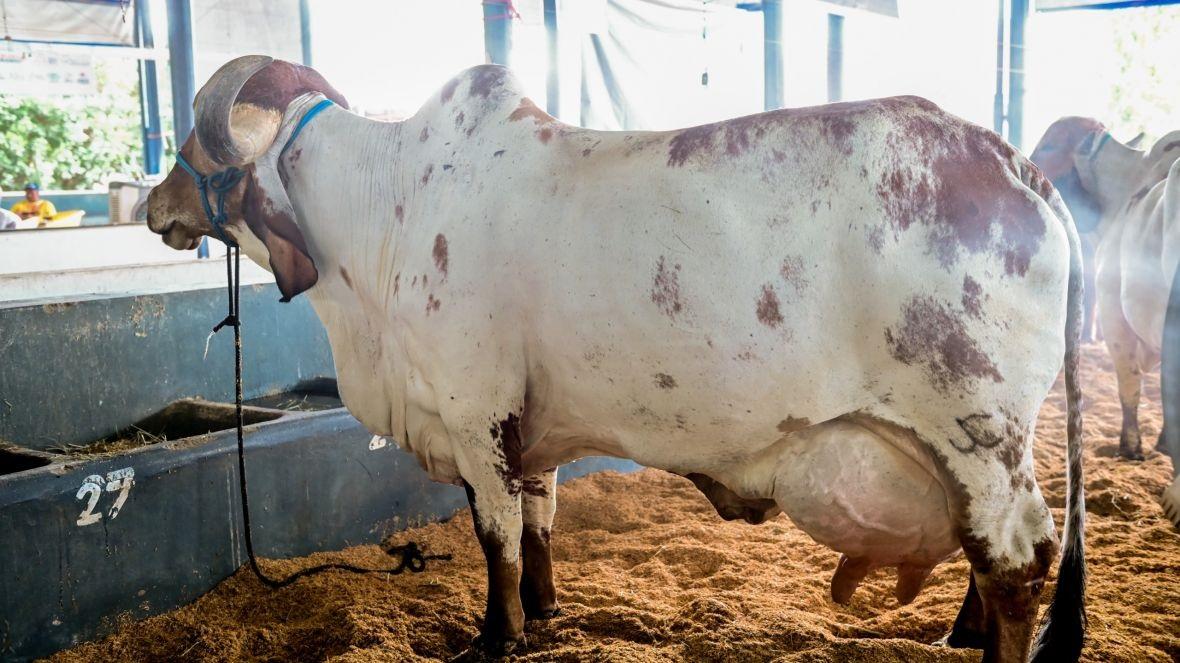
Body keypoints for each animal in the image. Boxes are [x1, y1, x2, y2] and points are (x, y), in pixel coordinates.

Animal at [147, 56, 1085, 660]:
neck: (389, 210)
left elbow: (495, 535)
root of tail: (1019, 168)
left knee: (1016, 558)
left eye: (190, 149)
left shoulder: (476, 416)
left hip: (977, 432)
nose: (155, 204)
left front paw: (495, 636)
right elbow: (537, 524)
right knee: (991, 553)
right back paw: (959, 629)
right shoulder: (530, 430)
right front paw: (546, 612)